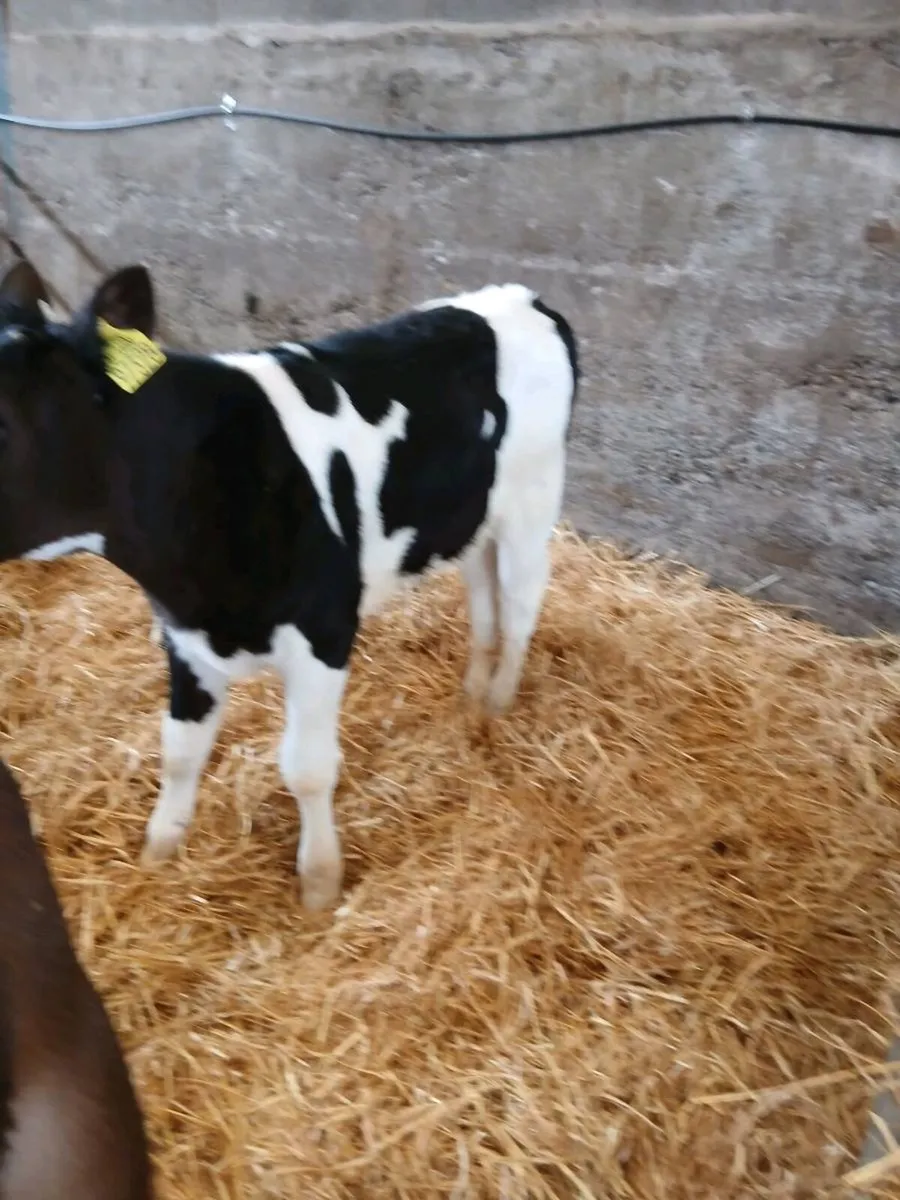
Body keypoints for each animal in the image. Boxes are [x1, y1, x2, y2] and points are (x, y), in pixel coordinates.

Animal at [0, 258, 579, 911]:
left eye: (4, 421)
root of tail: (525, 297)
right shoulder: (184, 634)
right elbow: (179, 750)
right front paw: (158, 855)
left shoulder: (324, 632)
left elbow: (306, 768)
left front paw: (320, 884)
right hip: (471, 519)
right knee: (483, 595)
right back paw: (473, 695)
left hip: (533, 504)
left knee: (523, 603)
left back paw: (499, 701)